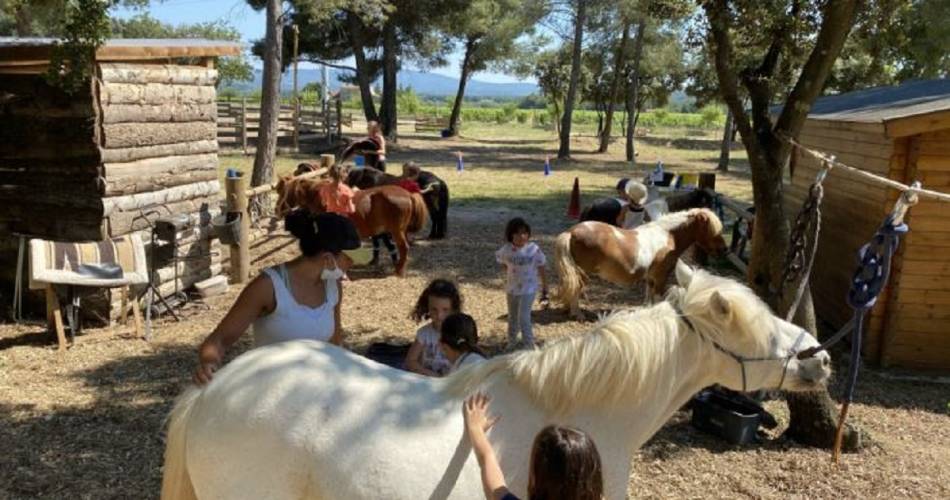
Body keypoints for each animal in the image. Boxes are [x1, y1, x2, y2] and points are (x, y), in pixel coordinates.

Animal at [274, 175, 426, 278]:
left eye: (282, 192)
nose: (276, 210)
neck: (322, 199)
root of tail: (408, 194)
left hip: (396, 231)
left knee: (403, 248)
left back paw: (399, 271)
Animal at [556, 208, 724, 320]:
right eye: (711, 229)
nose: (723, 249)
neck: (668, 236)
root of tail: (572, 232)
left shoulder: (651, 276)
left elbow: (649, 295)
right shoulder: (661, 276)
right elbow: (658, 297)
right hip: (583, 273)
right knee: (576, 288)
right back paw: (577, 314)